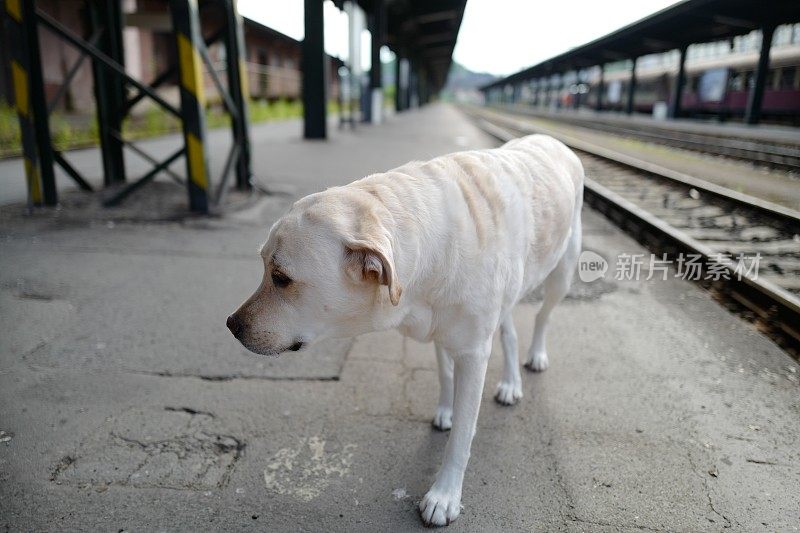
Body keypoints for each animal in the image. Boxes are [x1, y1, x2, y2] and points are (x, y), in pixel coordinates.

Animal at [225, 134, 580, 528]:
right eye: (264, 268)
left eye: (281, 278)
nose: (232, 325)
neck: (434, 250)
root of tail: (551, 139)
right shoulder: (441, 330)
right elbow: (445, 374)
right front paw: (446, 410)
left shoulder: (472, 353)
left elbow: (461, 438)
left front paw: (445, 495)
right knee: (508, 330)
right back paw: (510, 382)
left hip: (562, 275)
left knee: (542, 318)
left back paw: (534, 358)